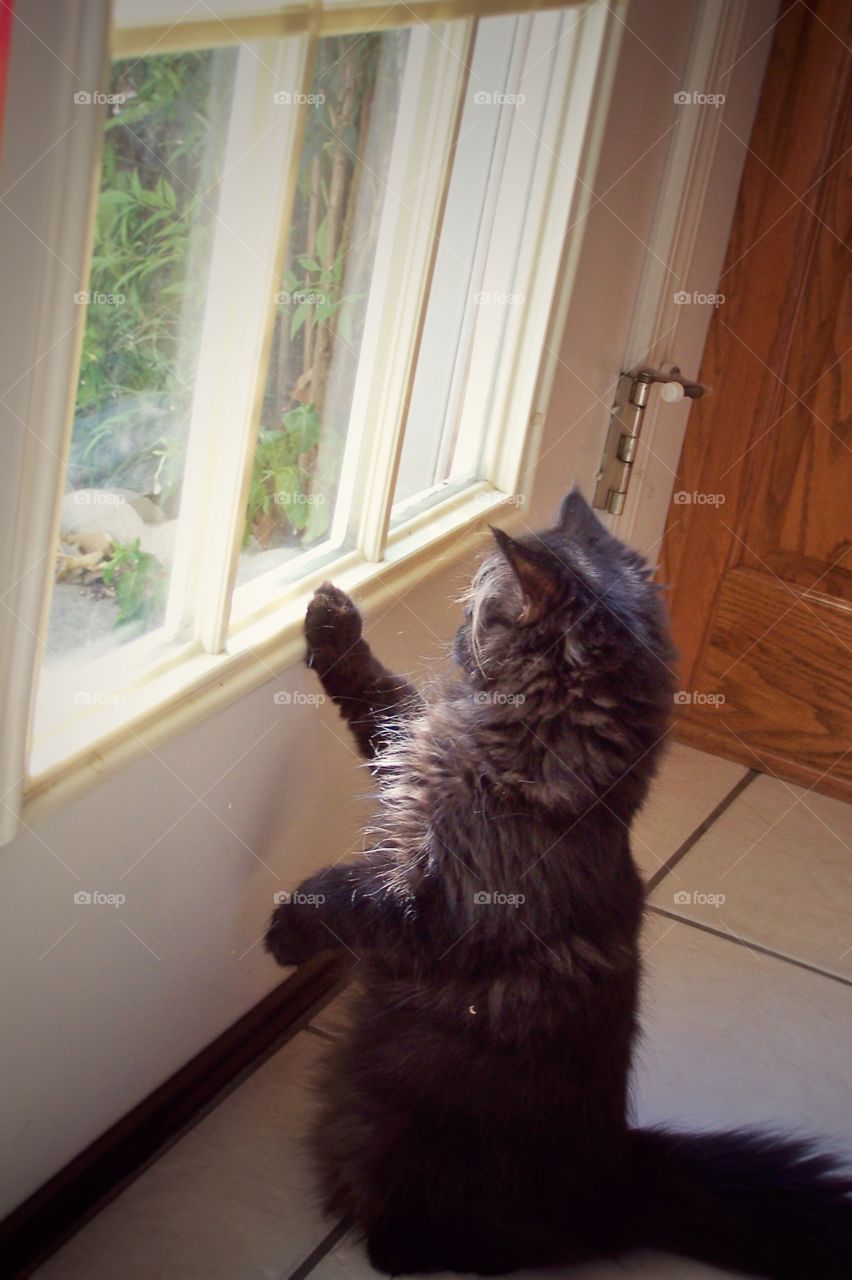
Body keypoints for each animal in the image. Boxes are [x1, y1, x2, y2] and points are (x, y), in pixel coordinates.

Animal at [266, 483, 849, 1274]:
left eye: (477, 617)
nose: (456, 639)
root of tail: (618, 1180)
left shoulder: (443, 910)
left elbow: (353, 898)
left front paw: (288, 928)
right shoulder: (405, 750)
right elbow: (381, 694)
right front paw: (331, 621)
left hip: (396, 1144)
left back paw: (392, 1244)